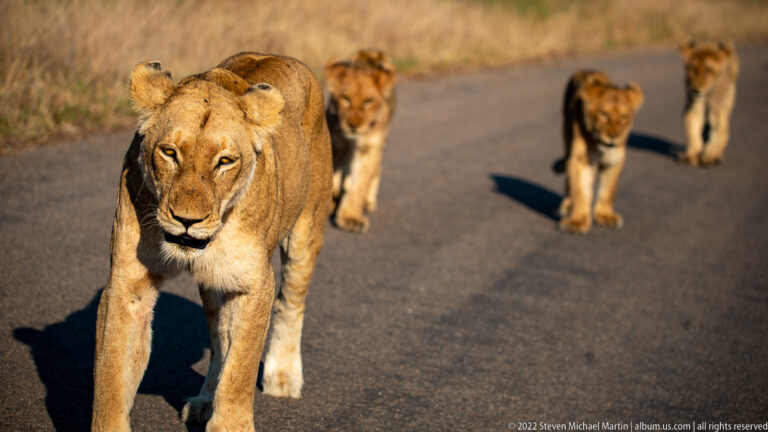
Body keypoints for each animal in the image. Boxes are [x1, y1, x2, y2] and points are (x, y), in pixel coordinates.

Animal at [91, 53, 332, 432]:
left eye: (225, 161)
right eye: (169, 152)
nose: (187, 220)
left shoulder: (253, 285)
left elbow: (240, 371)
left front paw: (231, 424)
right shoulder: (128, 285)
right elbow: (111, 374)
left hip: (306, 232)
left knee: (291, 303)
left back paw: (283, 376)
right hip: (214, 282)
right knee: (219, 339)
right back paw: (205, 401)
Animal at [325, 49, 396, 233]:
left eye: (368, 102)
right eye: (345, 98)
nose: (354, 125)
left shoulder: (368, 148)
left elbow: (360, 183)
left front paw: (350, 218)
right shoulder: (335, 143)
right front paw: (330, 201)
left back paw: (368, 201)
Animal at [554, 70, 643, 234]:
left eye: (624, 117)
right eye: (603, 114)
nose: (614, 136)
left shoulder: (614, 160)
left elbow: (609, 189)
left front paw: (605, 216)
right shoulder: (581, 160)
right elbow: (579, 190)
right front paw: (577, 221)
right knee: (569, 179)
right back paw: (568, 205)